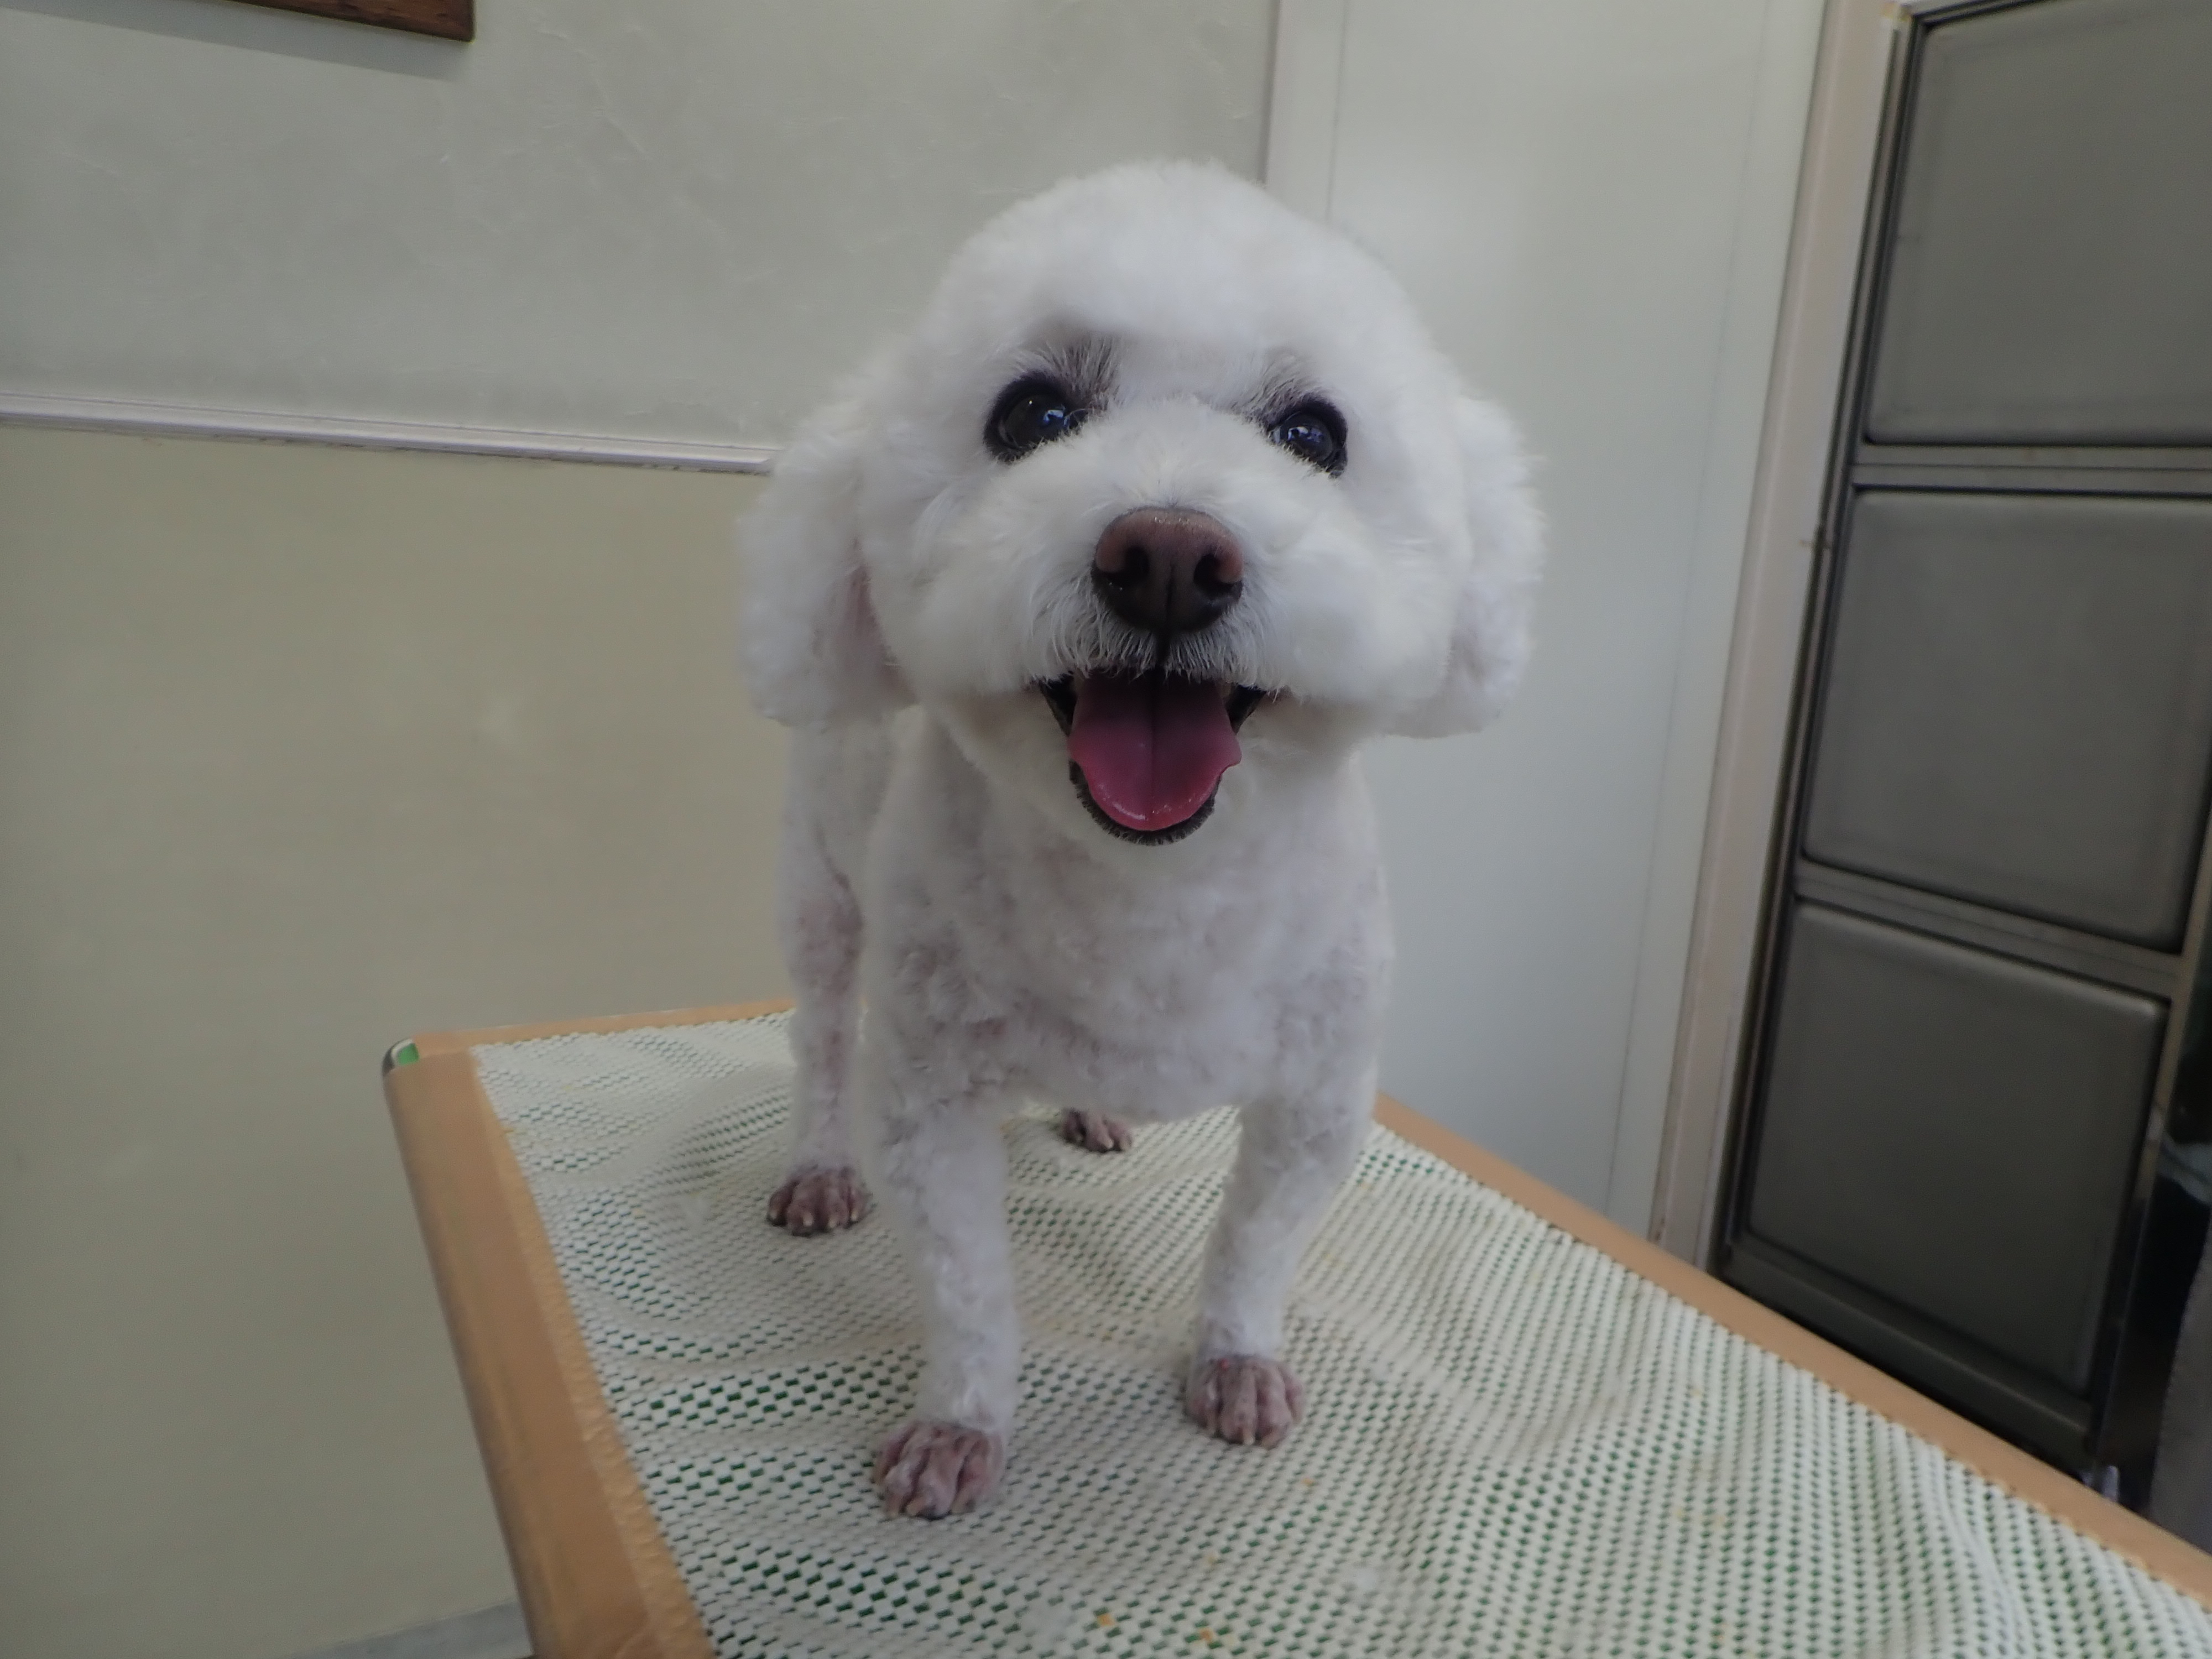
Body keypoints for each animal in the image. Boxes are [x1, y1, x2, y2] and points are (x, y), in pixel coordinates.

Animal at [740, 162, 1540, 1518]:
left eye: (1314, 435)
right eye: (1031, 414)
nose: (1168, 554)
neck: (1149, 901)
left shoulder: (1319, 1098)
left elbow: (1255, 1244)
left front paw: (1235, 1360)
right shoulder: (926, 1102)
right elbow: (966, 1286)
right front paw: (961, 1423)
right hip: (816, 894)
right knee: (819, 1040)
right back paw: (818, 1164)